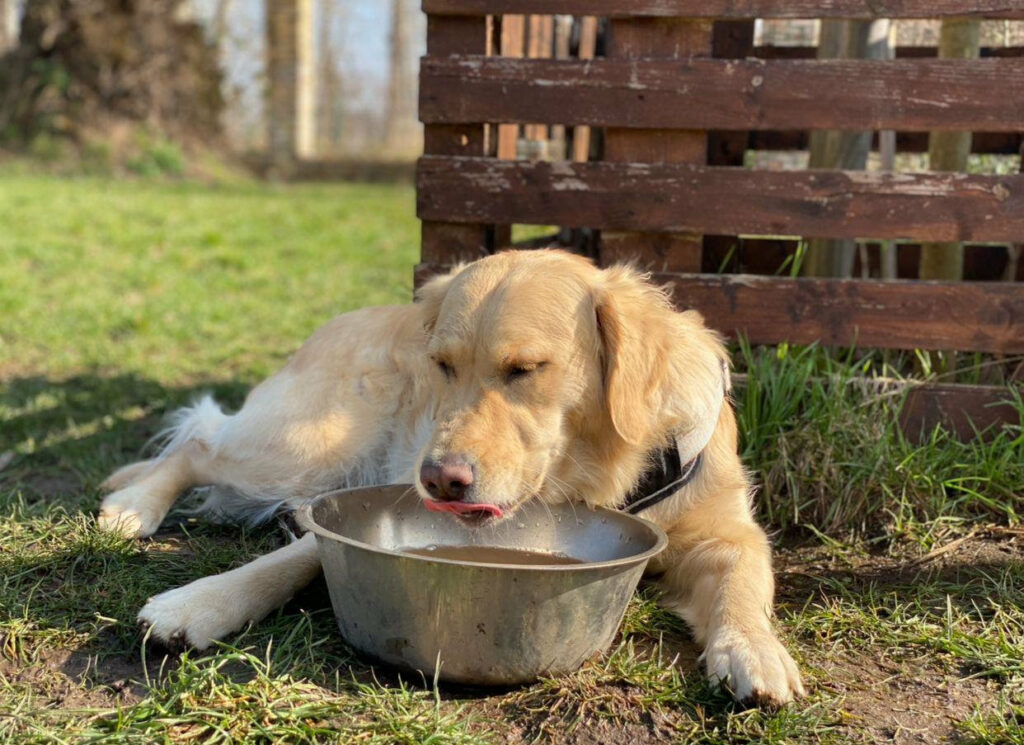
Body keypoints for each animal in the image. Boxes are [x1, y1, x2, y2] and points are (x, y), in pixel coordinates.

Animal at [97, 248, 798, 704]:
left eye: (524, 370)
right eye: (442, 365)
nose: (438, 480)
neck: (605, 473)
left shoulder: (730, 531)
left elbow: (744, 581)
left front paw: (754, 652)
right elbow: (291, 560)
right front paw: (200, 601)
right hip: (307, 443)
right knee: (197, 441)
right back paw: (133, 505)